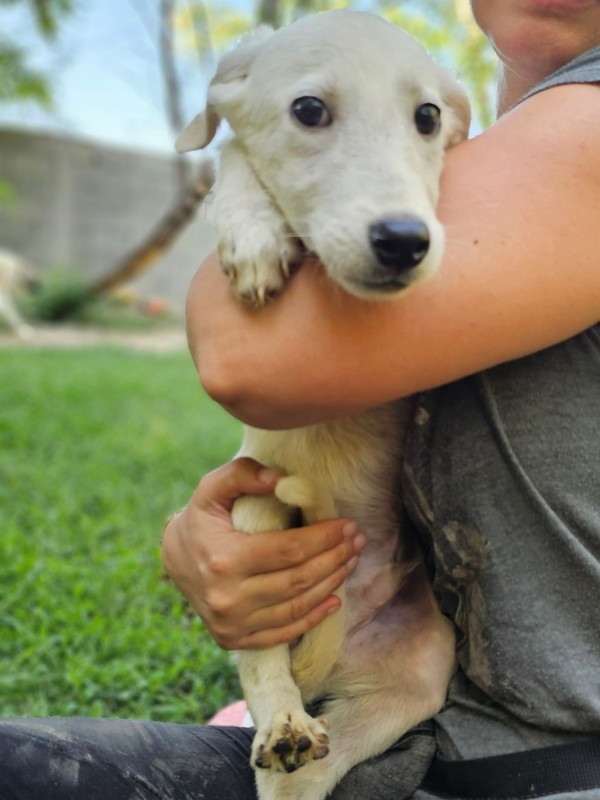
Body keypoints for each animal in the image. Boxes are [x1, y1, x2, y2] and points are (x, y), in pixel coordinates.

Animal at [177, 11, 470, 800]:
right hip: (254, 526)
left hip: (415, 679)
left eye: (428, 116)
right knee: (266, 672)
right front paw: (251, 236)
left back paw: (295, 743)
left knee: (314, 770)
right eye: (308, 110)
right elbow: (233, 159)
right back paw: (281, 722)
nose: (405, 240)